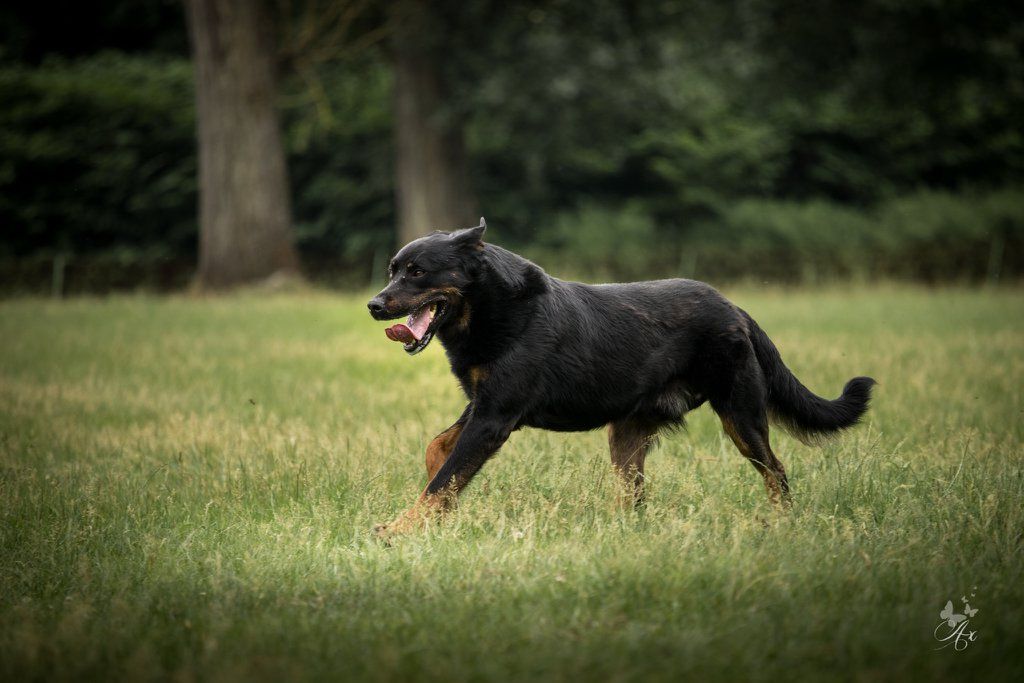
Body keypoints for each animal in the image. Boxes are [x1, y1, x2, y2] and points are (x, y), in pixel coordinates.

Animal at [368, 219, 872, 540]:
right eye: (392, 270)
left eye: (417, 271)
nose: (374, 305)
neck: (490, 305)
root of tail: (735, 309)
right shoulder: (481, 404)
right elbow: (437, 452)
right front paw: (434, 515)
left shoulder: (495, 417)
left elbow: (445, 478)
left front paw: (399, 530)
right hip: (627, 433)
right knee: (635, 498)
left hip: (740, 416)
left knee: (776, 472)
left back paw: (782, 523)